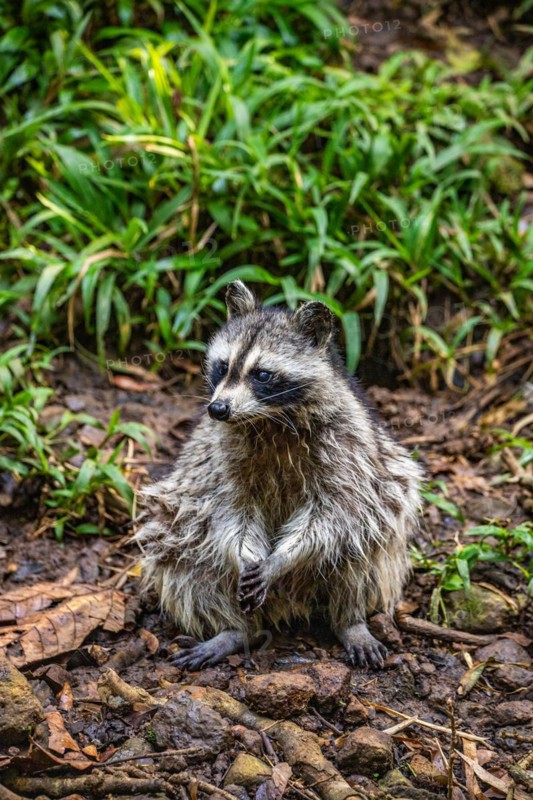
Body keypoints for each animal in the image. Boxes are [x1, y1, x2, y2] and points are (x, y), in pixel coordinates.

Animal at [135, 281, 422, 669]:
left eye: (262, 374)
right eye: (223, 366)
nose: (217, 408)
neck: (268, 419)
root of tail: (288, 604)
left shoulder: (349, 451)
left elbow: (335, 513)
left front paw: (280, 560)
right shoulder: (220, 461)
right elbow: (231, 511)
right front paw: (245, 556)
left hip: (382, 502)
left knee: (367, 541)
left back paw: (350, 620)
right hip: (180, 525)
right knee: (185, 557)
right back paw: (235, 629)